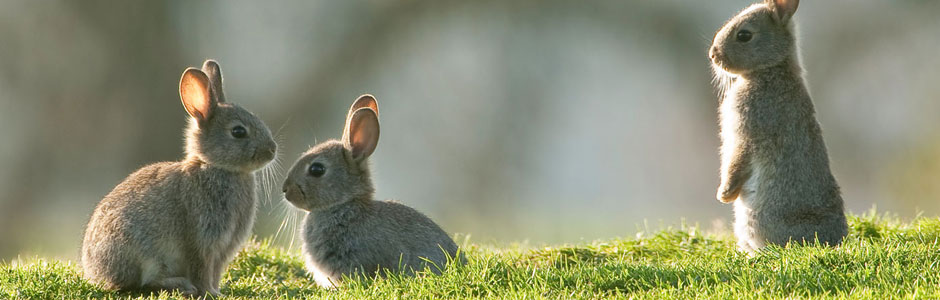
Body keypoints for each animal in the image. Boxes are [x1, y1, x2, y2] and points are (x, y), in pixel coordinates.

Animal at [81, 59, 276, 296]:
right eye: (238, 132)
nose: (272, 150)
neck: (217, 166)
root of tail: (93, 271)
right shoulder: (201, 239)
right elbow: (201, 268)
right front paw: (210, 292)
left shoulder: (222, 249)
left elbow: (215, 271)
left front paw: (217, 291)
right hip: (138, 254)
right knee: (139, 284)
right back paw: (181, 285)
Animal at [708, 0, 848, 253]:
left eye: (744, 35)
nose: (713, 55)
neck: (771, 68)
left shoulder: (747, 131)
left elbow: (736, 162)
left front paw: (724, 195)